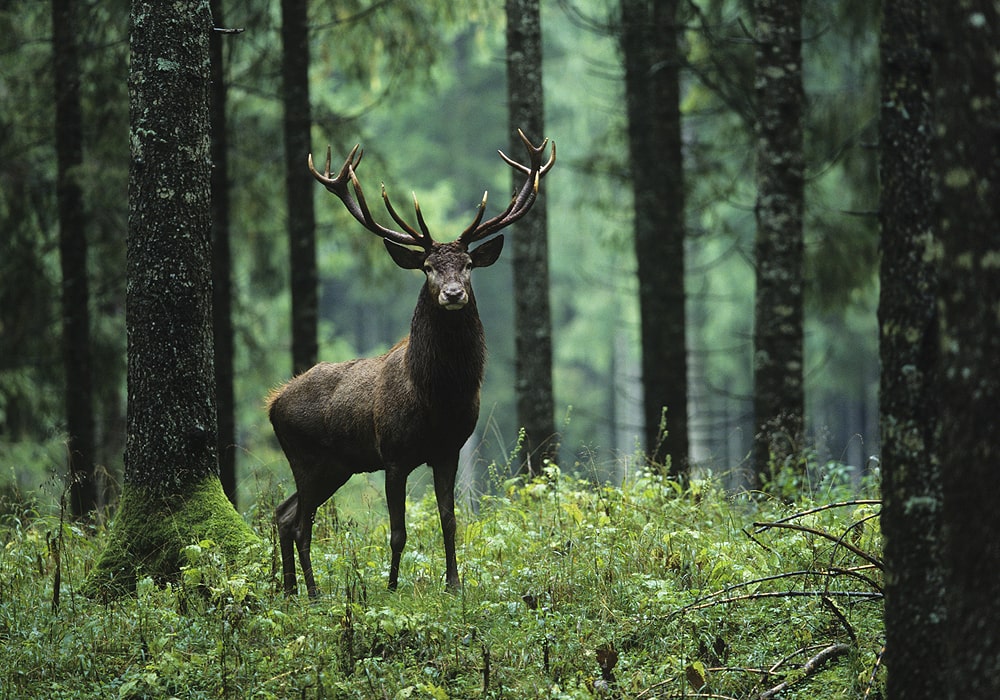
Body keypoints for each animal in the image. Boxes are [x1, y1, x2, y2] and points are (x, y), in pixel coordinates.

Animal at [266, 129, 556, 592]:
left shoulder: (449, 449)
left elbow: (449, 520)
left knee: (283, 513)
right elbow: (398, 531)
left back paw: (292, 590)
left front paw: (454, 584)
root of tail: (273, 402)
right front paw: (390, 587)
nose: (453, 294)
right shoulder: (394, 454)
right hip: (305, 456)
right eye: (427, 267)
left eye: (468, 264)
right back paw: (311, 592)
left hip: (337, 465)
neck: (437, 397)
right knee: (299, 522)